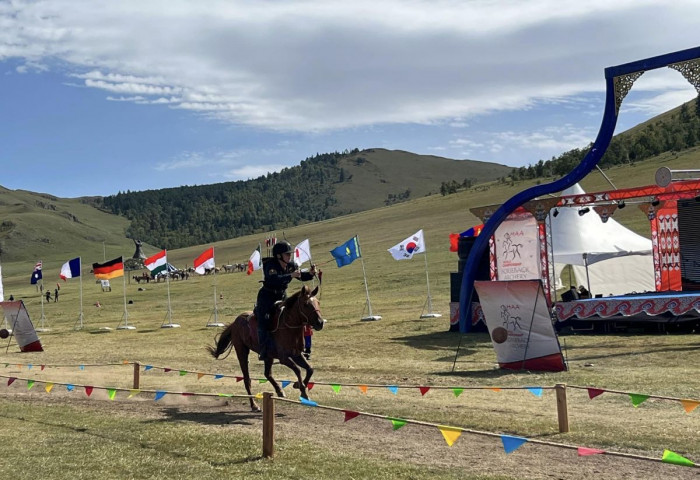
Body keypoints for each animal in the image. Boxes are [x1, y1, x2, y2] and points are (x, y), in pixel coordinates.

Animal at [208, 284, 326, 412]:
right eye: (306, 304)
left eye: (318, 302)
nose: (320, 323)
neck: (288, 327)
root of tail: (235, 323)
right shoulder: (284, 358)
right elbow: (298, 369)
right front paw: (303, 391)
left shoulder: (297, 354)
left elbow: (310, 369)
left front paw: (298, 385)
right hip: (242, 352)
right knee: (247, 379)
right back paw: (254, 405)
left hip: (268, 356)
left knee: (267, 374)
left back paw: (279, 391)